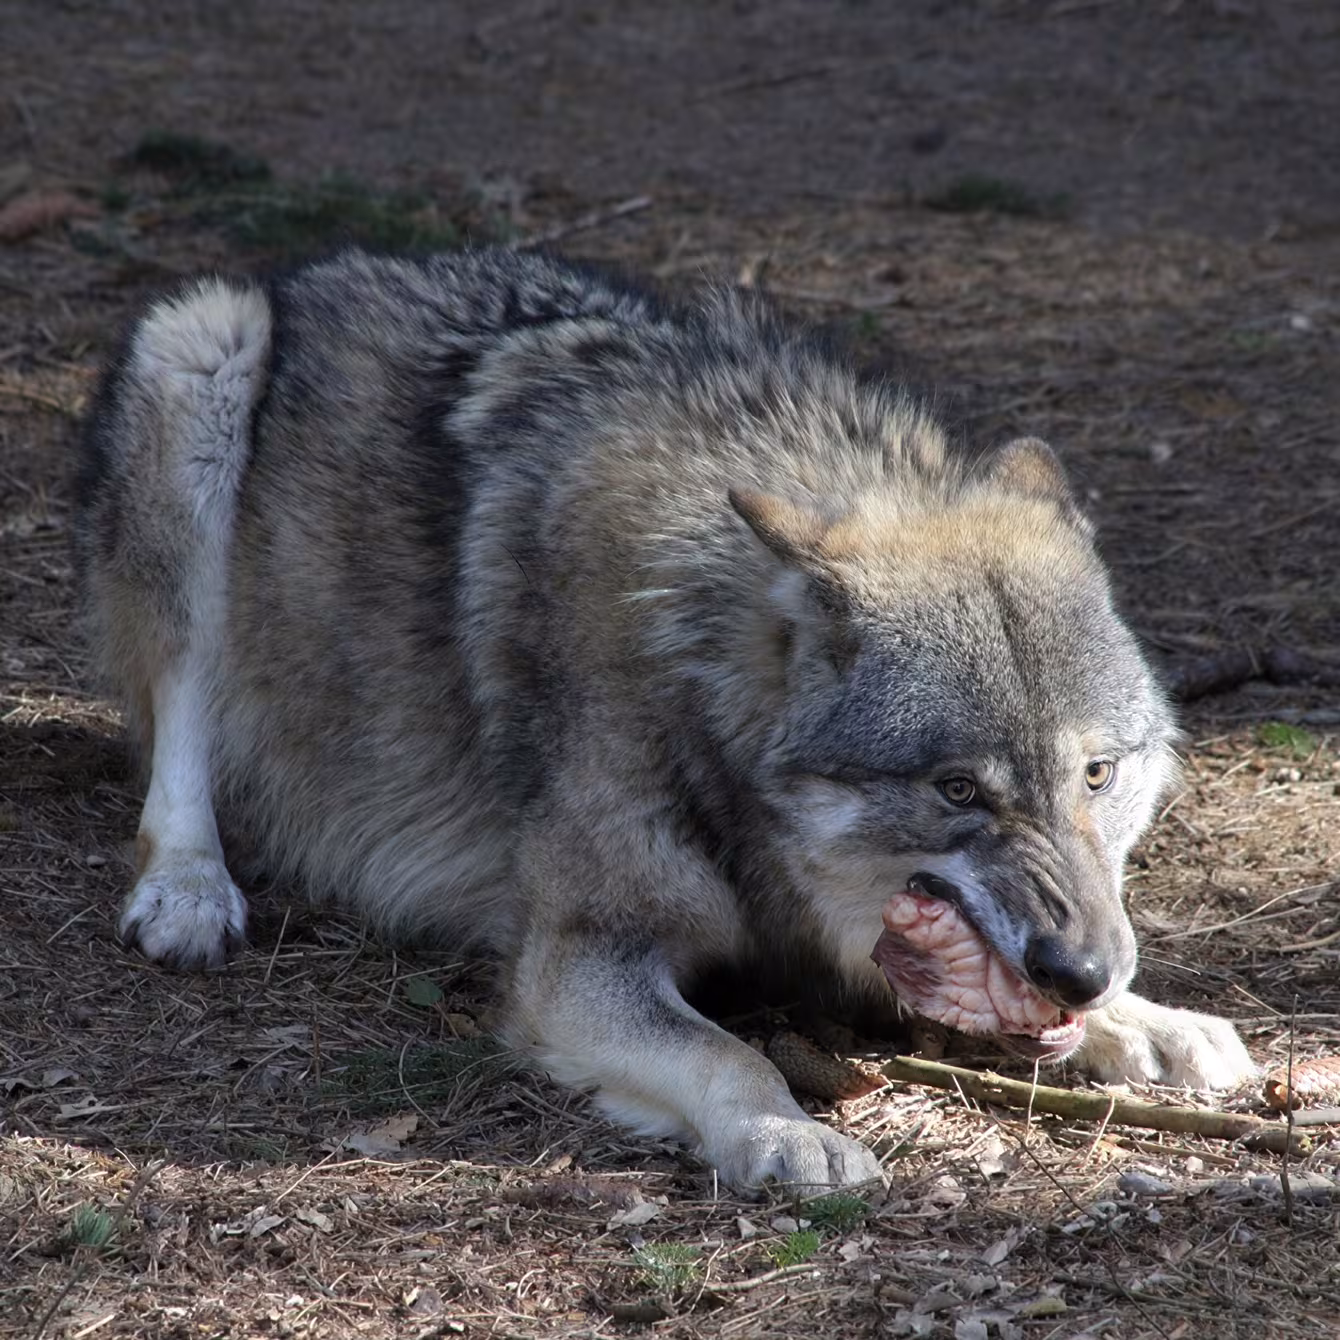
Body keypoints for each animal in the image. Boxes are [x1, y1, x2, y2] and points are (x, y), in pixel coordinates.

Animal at [76, 247, 1254, 1191]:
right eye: (957, 789)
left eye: (1096, 774)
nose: (1081, 972)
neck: (700, 681)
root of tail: (320, 270)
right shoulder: (576, 963)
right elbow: (730, 1053)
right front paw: (791, 1134)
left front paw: (1148, 1020)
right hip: (203, 359)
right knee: (179, 736)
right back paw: (187, 889)